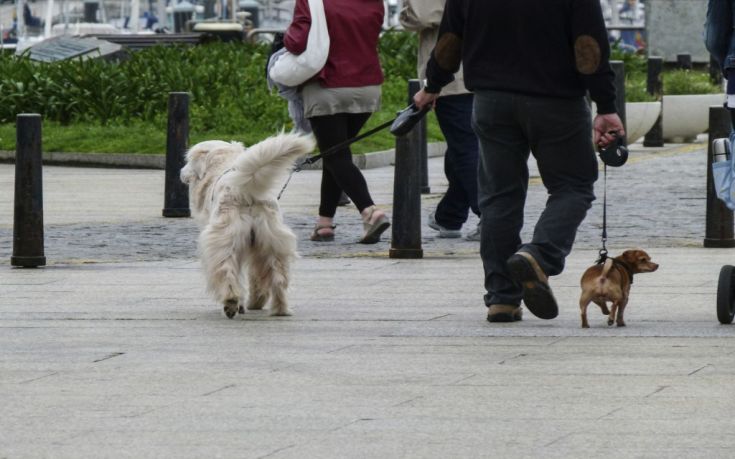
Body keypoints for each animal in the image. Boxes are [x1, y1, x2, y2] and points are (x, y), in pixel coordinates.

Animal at [181, 133, 316, 320]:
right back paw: (279, 309)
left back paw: (230, 303)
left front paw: (240, 304)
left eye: (188, 160)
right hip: (273, 244)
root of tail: (245, 189)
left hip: (224, 242)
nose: (181, 172)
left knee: (227, 272)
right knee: (278, 279)